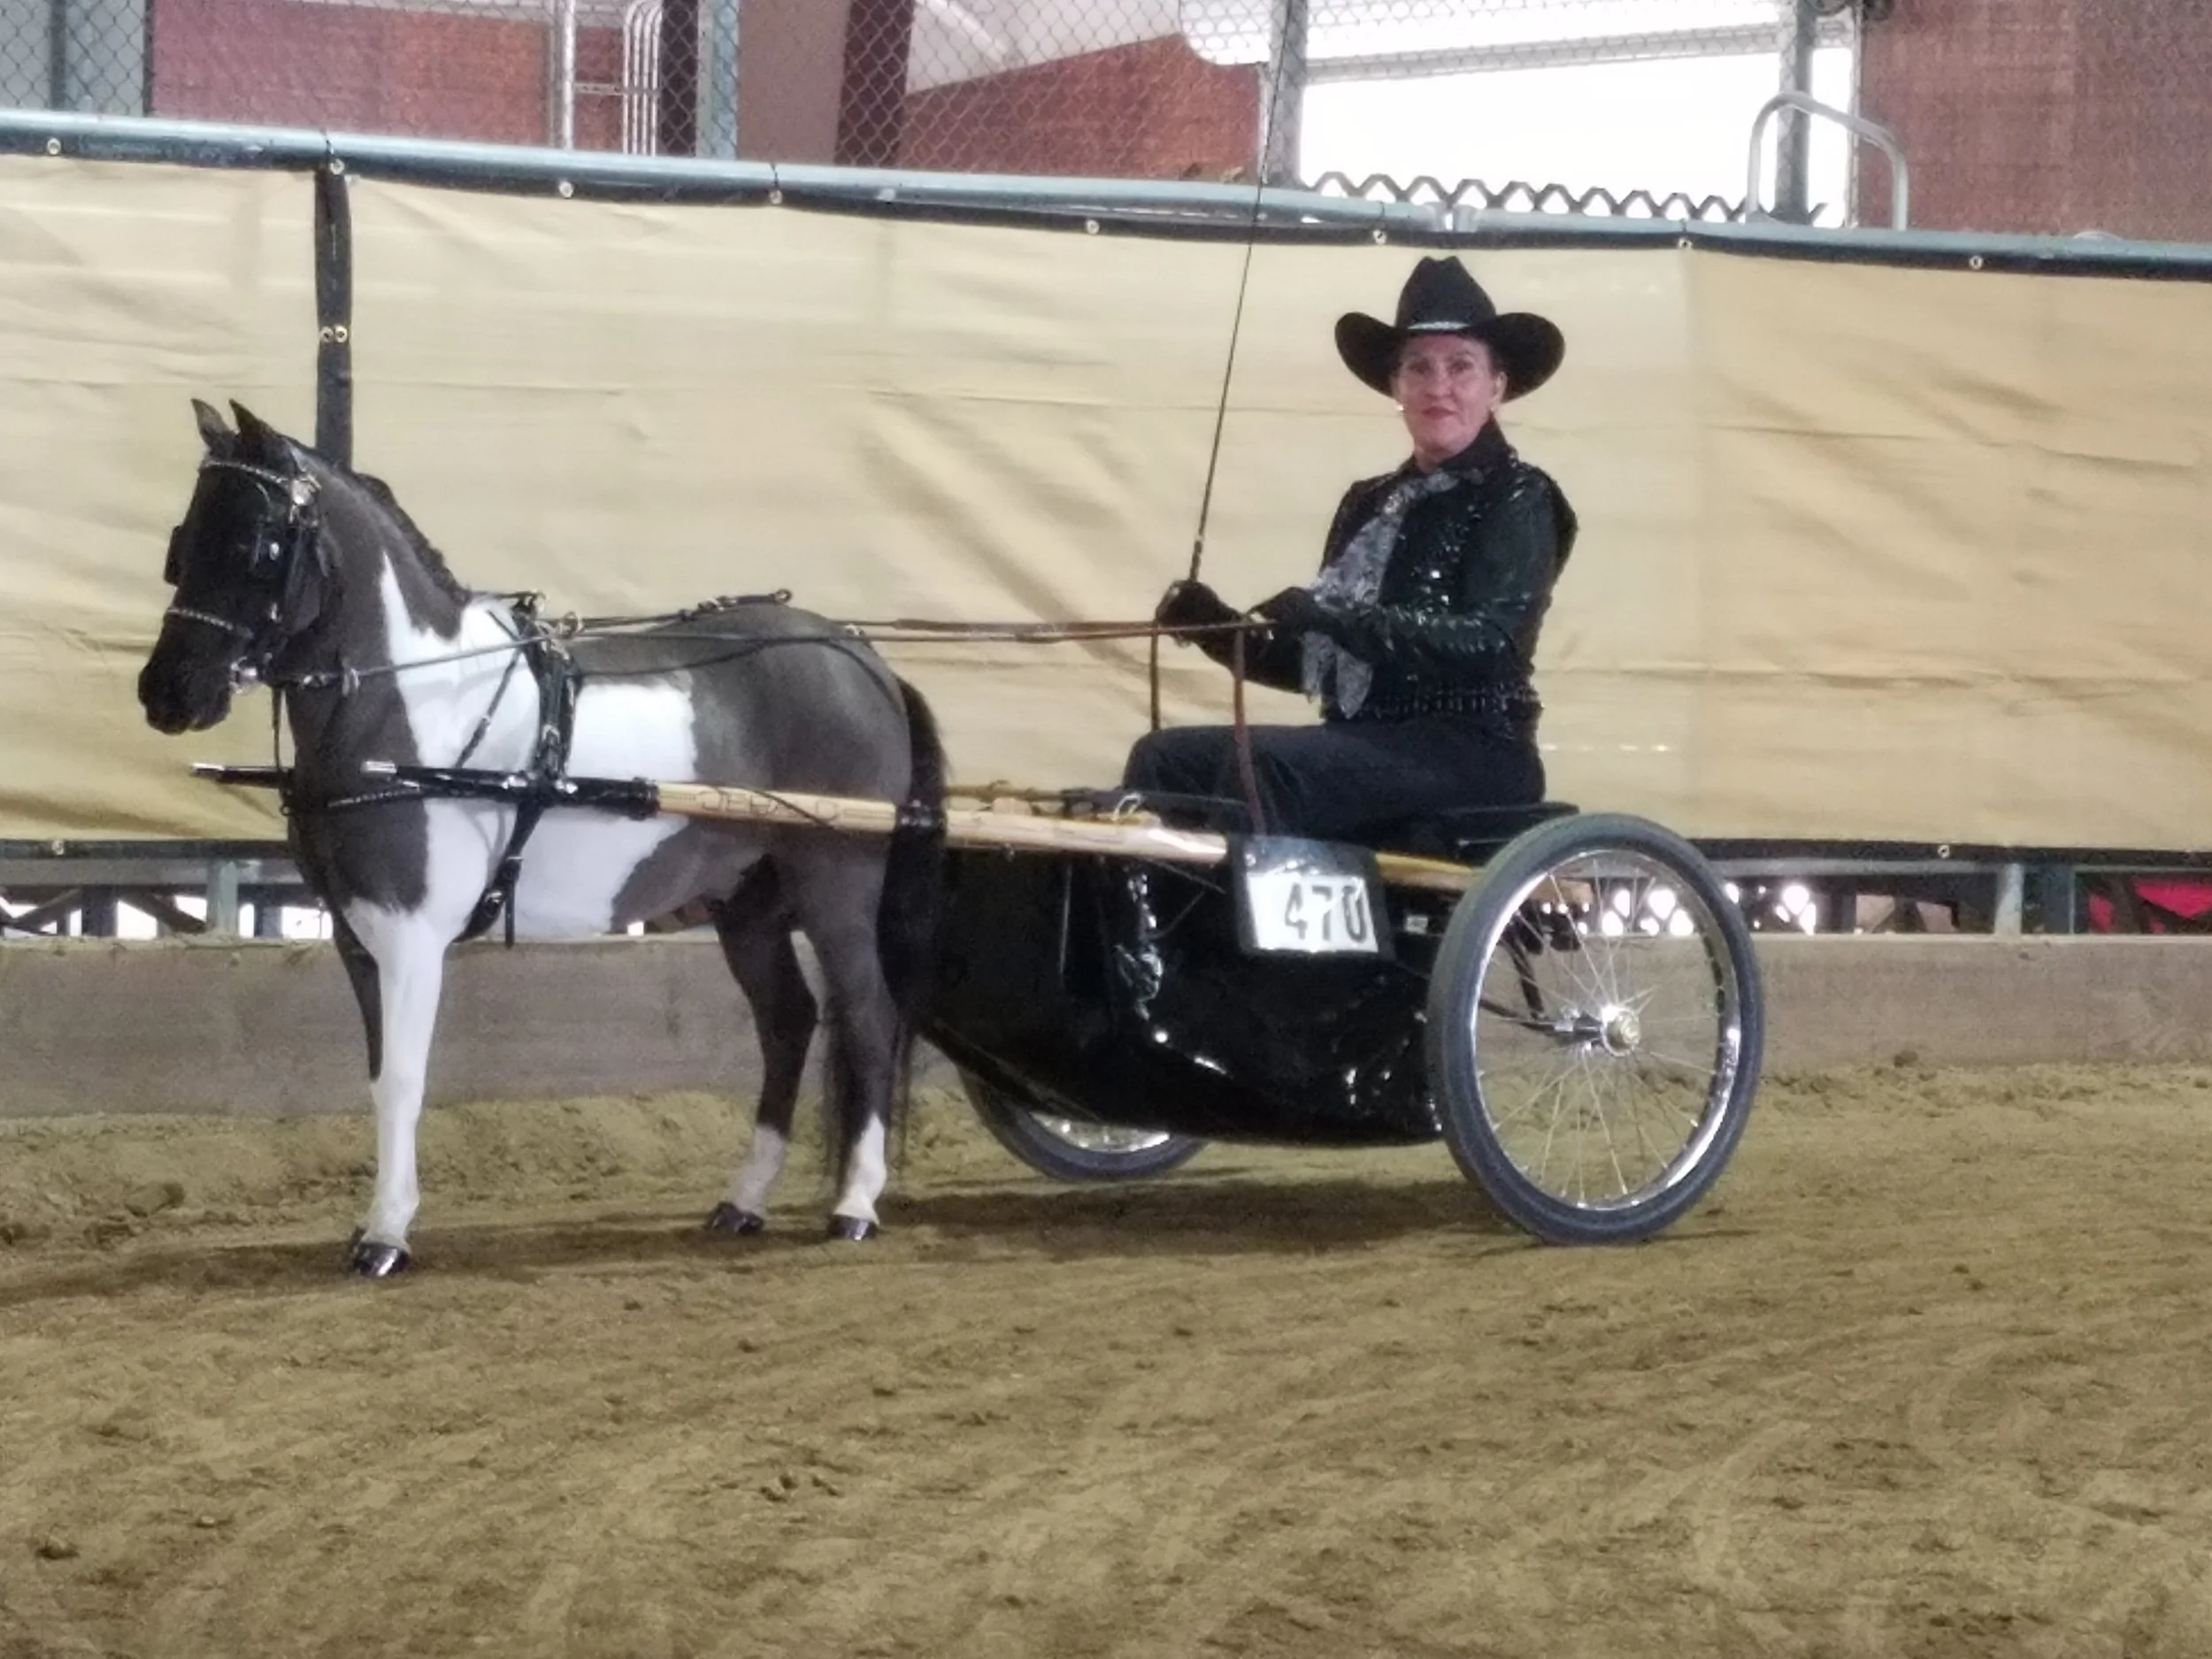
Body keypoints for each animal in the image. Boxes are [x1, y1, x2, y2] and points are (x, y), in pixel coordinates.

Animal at [137, 401, 945, 1276]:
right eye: (183, 541)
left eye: (257, 544)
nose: (166, 692)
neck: (417, 710)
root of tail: (858, 657)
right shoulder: (358, 936)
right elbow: (380, 1075)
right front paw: (372, 1223)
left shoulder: (412, 936)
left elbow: (406, 1080)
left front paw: (385, 1236)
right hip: (747, 902)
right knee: (787, 1021)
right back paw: (744, 1201)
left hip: (836, 886)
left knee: (865, 1013)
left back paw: (856, 1205)